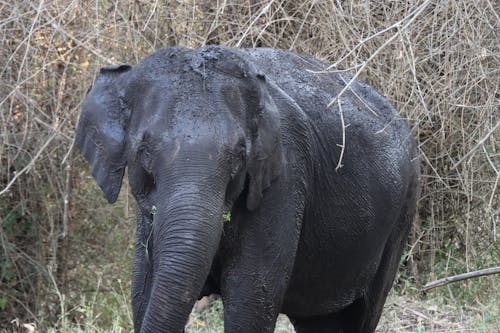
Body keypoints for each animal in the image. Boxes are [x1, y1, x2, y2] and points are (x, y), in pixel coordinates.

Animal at [74, 44, 418, 332]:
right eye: (143, 151)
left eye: (241, 155)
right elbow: (142, 292)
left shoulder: (285, 179)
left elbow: (250, 300)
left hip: (403, 211)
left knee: (365, 312)